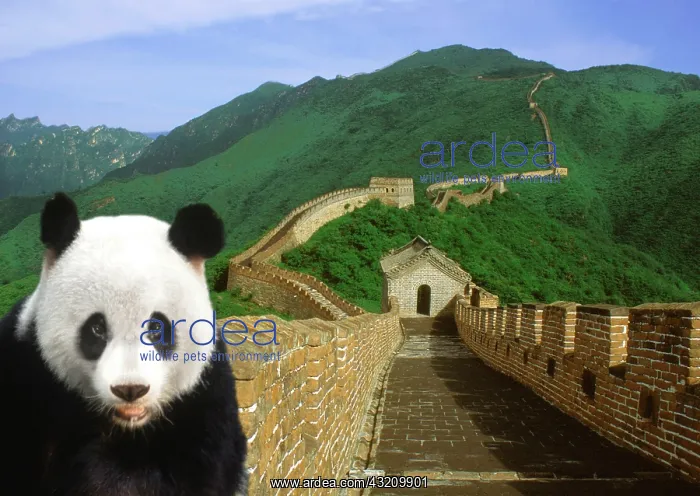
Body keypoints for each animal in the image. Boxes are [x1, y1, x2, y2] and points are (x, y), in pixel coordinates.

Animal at [0, 193, 248, 495]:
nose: (130, 389)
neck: (126, 426)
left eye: (156, 327)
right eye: (97, 327)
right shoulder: (24, 372)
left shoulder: (206, 396)